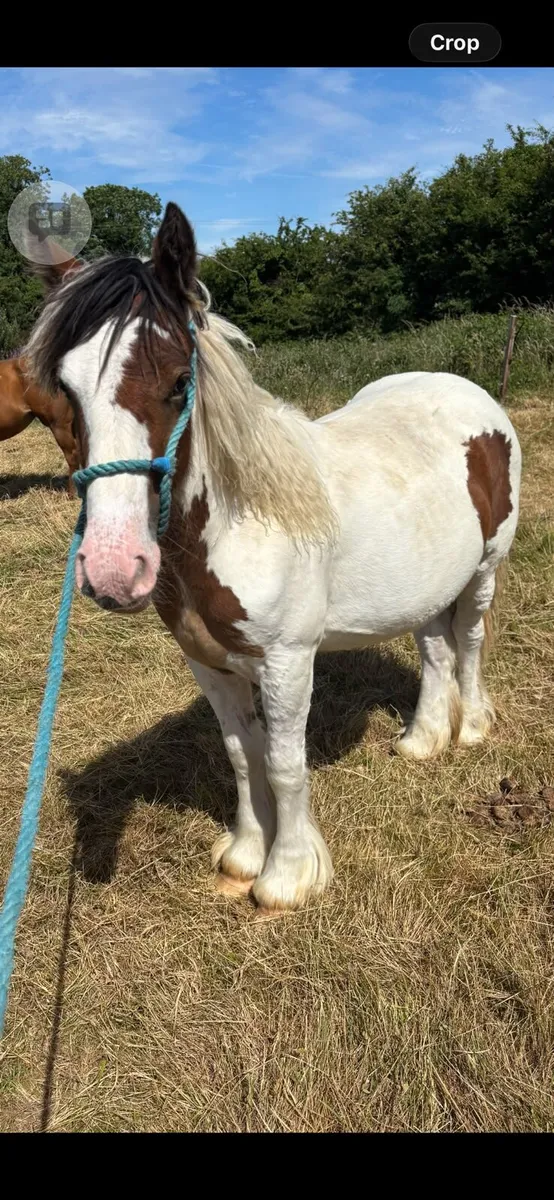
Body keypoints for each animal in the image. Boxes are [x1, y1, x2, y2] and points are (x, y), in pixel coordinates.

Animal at [23, 202, 522, 914]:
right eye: (64, 391)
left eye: (180, 381)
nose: (114, 570)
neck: (240, 526)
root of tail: (467, 391)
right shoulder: (209, 662)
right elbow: (242, 755)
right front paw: (242, 856)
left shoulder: (288, 662)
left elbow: (285, 764)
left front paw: (287, 876)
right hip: (426, 583)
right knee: (434, 648)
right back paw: (422, 740)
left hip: (483, 571)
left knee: (472, 640)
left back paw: (472, 727)